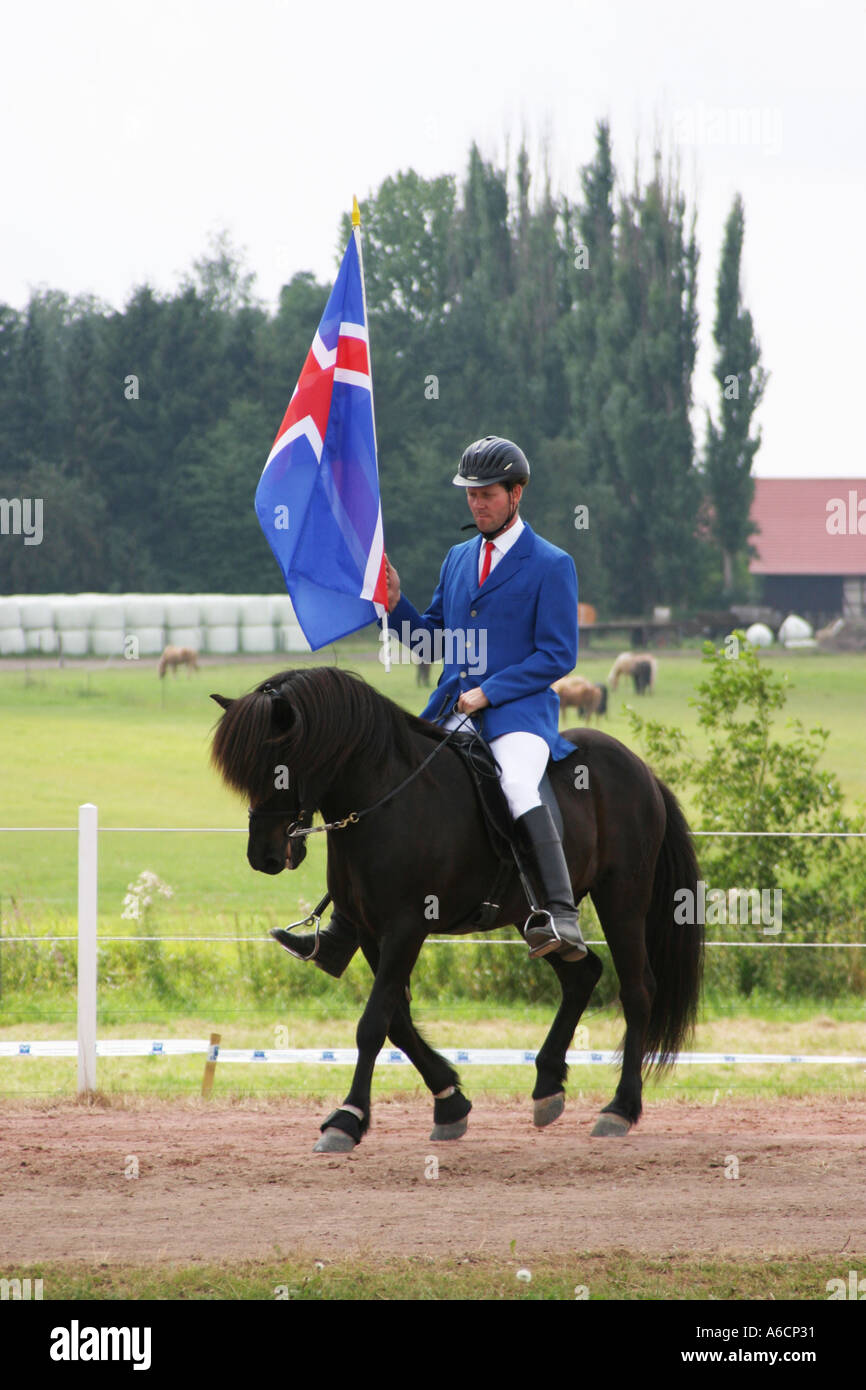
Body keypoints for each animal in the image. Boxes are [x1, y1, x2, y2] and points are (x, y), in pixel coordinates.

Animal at [209, 661, 706, 1150]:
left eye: (279, 767)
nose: (264, 857)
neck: (387, 793)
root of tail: (638, 766)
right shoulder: (372, 930)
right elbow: (396, 1020)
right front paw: (450, 1102)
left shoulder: (407, 926)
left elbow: (374, 1022)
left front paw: (347, 1119)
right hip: (533, 919)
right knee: (583, 975)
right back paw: (547, 1086)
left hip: (623, 897)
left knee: (638, 989)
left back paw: (619, 1109)